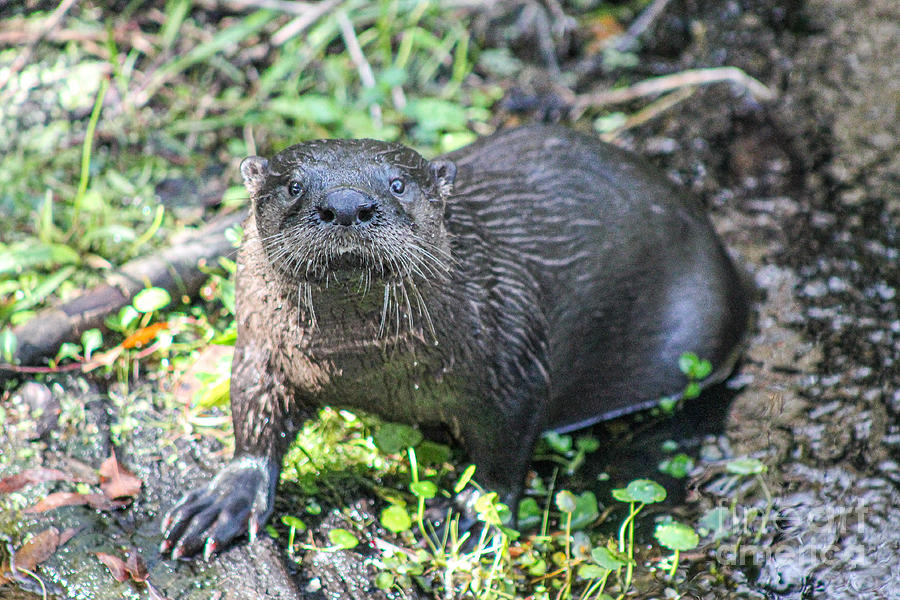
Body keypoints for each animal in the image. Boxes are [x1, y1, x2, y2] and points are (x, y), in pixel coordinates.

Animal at [158, 124, 748, 560]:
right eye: (294, 185)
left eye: (397, 184)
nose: (347, 205)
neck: (356, 363)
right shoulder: (261, 352)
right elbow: (253, 418)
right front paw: (226, 497)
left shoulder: (514, 357)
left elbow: (503, 453)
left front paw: (472, 513)